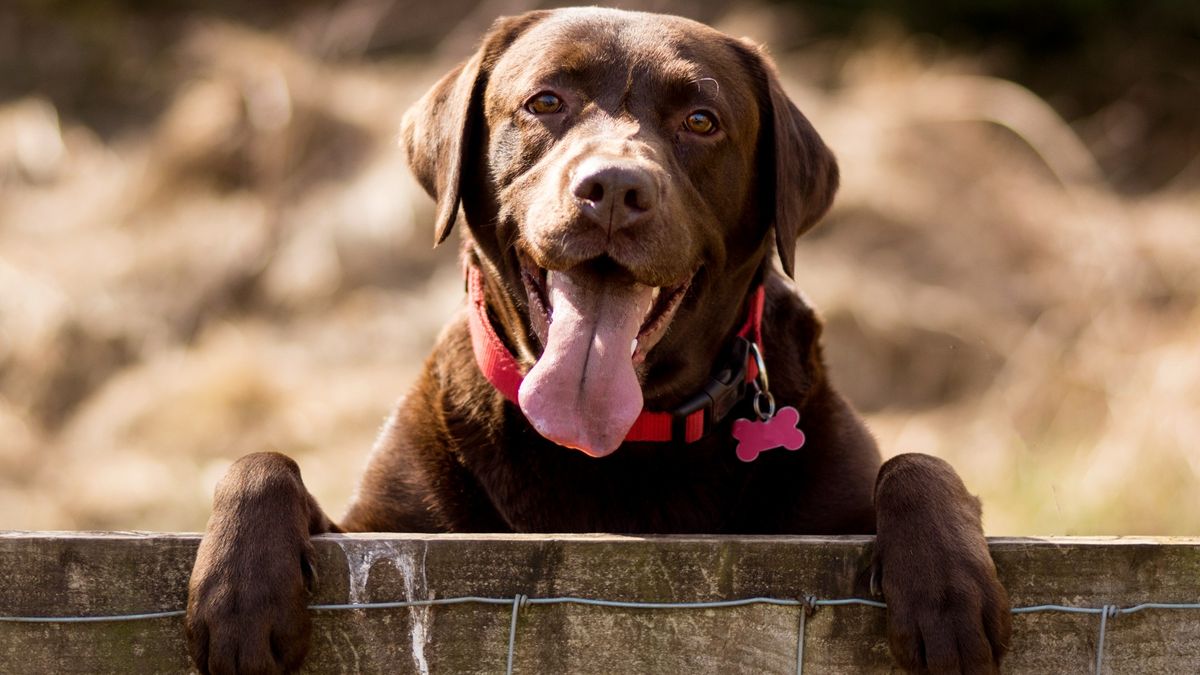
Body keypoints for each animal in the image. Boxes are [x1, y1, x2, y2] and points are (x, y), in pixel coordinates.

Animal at [187, 7, 1012, 667]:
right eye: (545, 101)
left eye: (701, 120)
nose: (614, 187)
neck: (620, 443)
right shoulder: (381, 531)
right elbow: (263, 464)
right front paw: (238, 593)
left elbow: (917, 464)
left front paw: (945, 590)